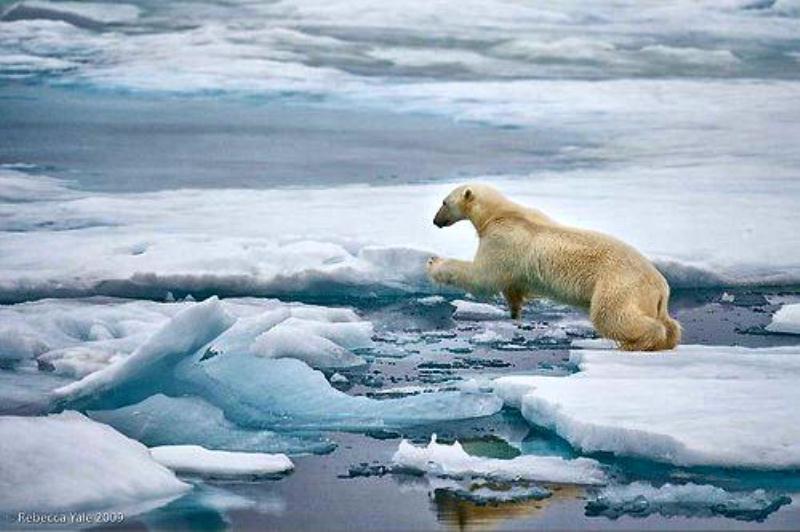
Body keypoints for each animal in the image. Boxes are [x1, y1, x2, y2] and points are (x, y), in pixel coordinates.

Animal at [427, 184, 681, 351]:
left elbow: (482, 276)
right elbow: (512, 285)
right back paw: (669, 338)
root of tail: (660, 286)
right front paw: (515, 312)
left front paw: (432, 263)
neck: (500, 214)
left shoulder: (503, 240)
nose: (435, 221)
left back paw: (638, 342)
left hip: (619, 284)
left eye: (443, 202)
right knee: (668, 322)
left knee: (611, 315)